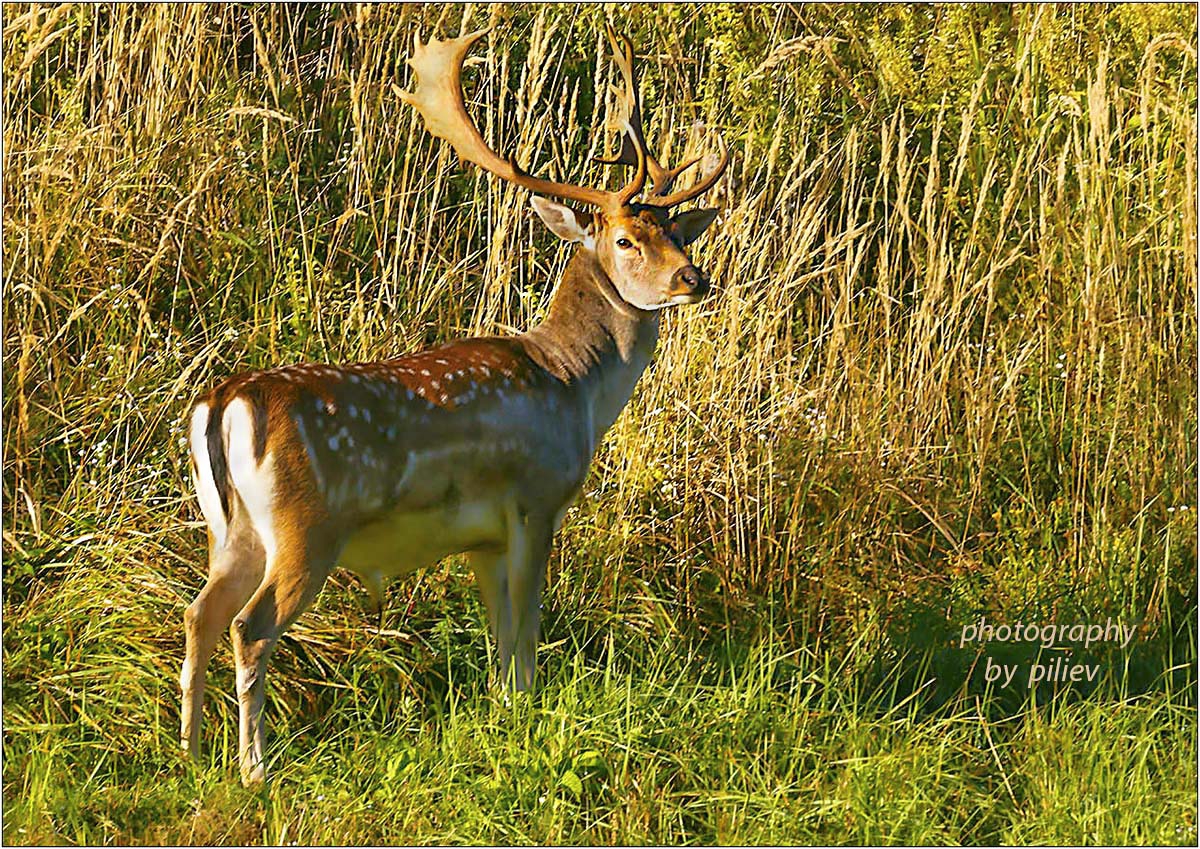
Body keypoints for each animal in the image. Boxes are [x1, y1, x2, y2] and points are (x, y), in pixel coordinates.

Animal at [176, 23, 720, 786]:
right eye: (624, 240)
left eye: (676, 233)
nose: (693, 279)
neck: (573, 387)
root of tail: (224, 400)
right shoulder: (535, 499)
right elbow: (527, 630)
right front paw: (526, 721)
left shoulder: (481, 536)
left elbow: (500, 642)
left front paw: (504, 716)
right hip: (307, 526)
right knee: (249, 628)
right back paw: (255, 770)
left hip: (230, 529)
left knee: (198, 615)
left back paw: (191, 754)